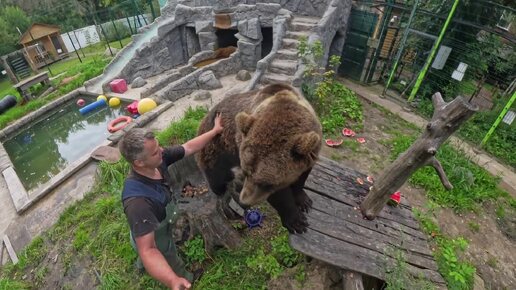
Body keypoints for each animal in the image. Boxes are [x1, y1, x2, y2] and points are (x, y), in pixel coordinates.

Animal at [196, 83, 320, 233]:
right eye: (246, 172)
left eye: (266, 183)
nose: (245, 199)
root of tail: (203, 120)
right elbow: (280, 196)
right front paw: (296, 222)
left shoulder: (311, 152)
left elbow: (302, 177)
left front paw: (304, 201)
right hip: (215, 150)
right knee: (217, 180)